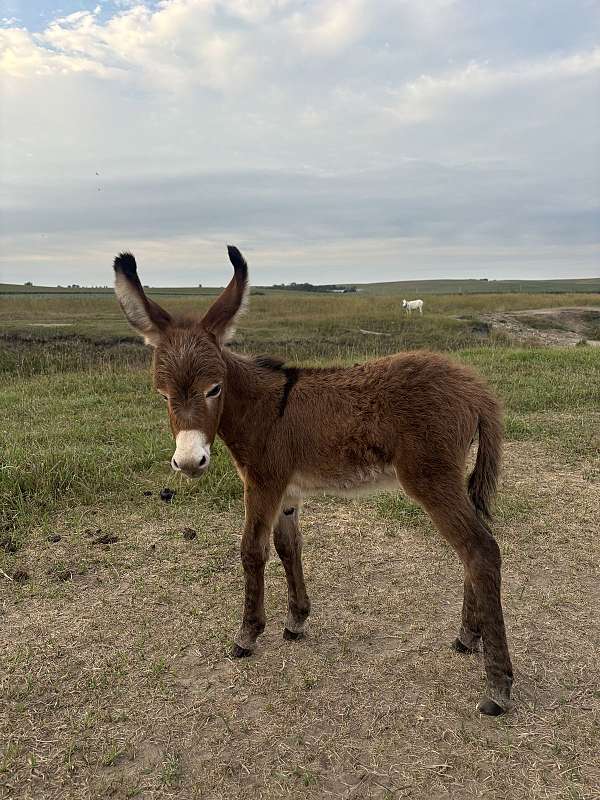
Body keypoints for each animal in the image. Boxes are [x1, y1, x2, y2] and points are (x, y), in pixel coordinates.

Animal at [115, 247, 512, 716]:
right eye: (162, 395)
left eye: (214, 389)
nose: (190, 461)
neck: (261, 409)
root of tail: (476, 388)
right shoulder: (288, 492)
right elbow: (289, 546)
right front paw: (296, 620)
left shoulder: (263, 483)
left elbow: (252, 550)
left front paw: (247, 634)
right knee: (472, 549)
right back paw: (469, 636)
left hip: (431, 479)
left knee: (481, 550)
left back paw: (498, 686)